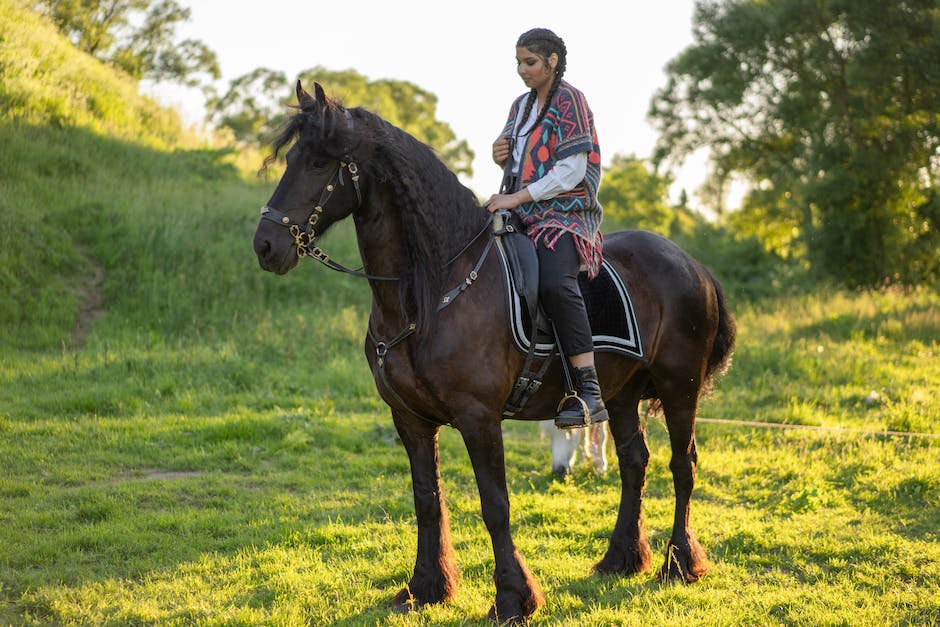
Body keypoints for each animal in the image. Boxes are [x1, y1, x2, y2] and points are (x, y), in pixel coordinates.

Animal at [252, 82, 736, 624]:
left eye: (319, 162)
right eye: (291, 158)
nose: (265, 245)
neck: (428, 293)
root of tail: (692, 265)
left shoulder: (479, 417)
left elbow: (495, 504)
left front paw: (512, 598)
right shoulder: (409, 419)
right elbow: (427, 501)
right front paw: (425, 587)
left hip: (679, 387)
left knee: (682, 465)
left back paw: (680, 564)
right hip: (622, 395)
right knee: (635, 463)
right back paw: (621, 559)